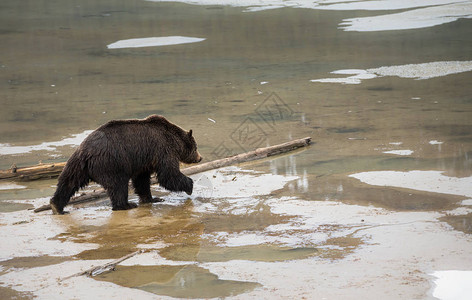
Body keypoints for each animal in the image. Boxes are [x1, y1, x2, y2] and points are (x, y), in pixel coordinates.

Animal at [49, 113, 201, 214]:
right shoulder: (162, 150)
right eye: (196, 147)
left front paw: (152, 198)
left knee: (68, 182)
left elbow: (142, 180)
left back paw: (56, 206)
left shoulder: (143, 161)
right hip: (112, 162)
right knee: (118, 185)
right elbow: (168, 174)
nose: (200, 158)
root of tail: (88, 153)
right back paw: (126, 205)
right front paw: (190, 186)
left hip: (77, 164)